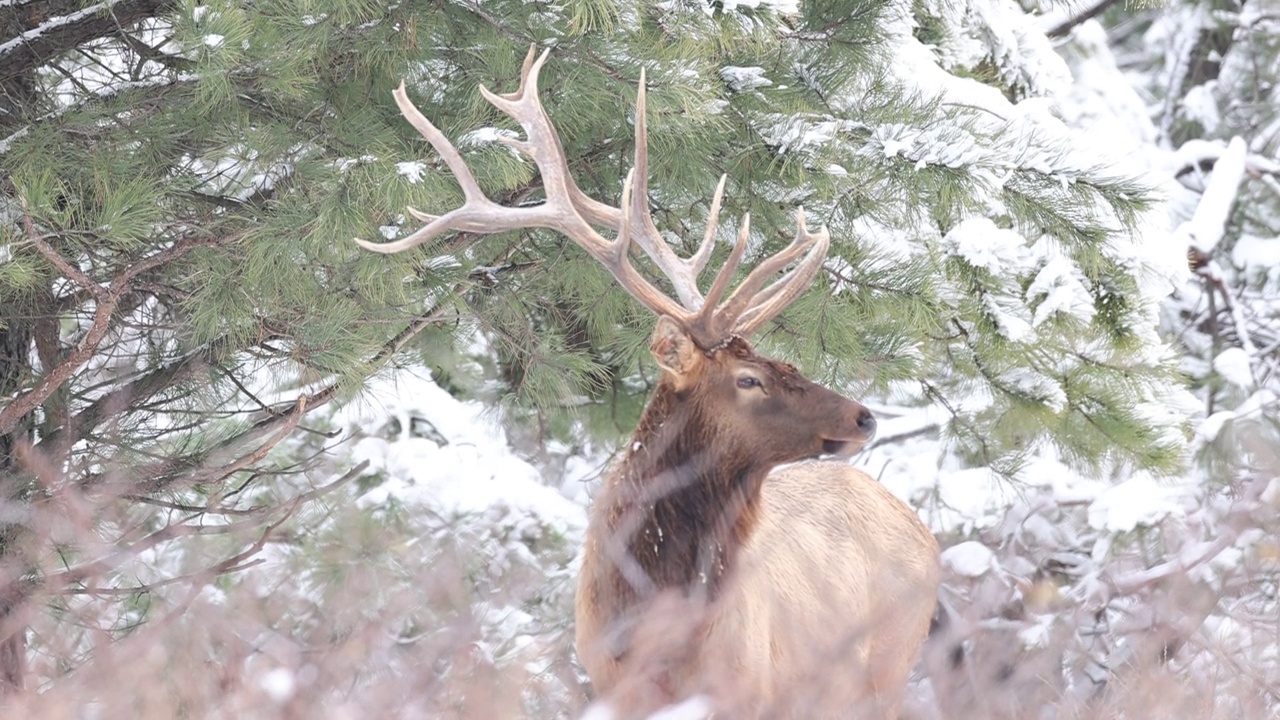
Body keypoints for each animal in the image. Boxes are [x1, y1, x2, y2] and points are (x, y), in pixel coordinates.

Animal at [358, 46, 942, 717]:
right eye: (749, 378)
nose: (864, 416)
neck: (654, 629)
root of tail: (925, 534)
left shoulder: (750, 691)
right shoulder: (613, 686)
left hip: (887, 670)